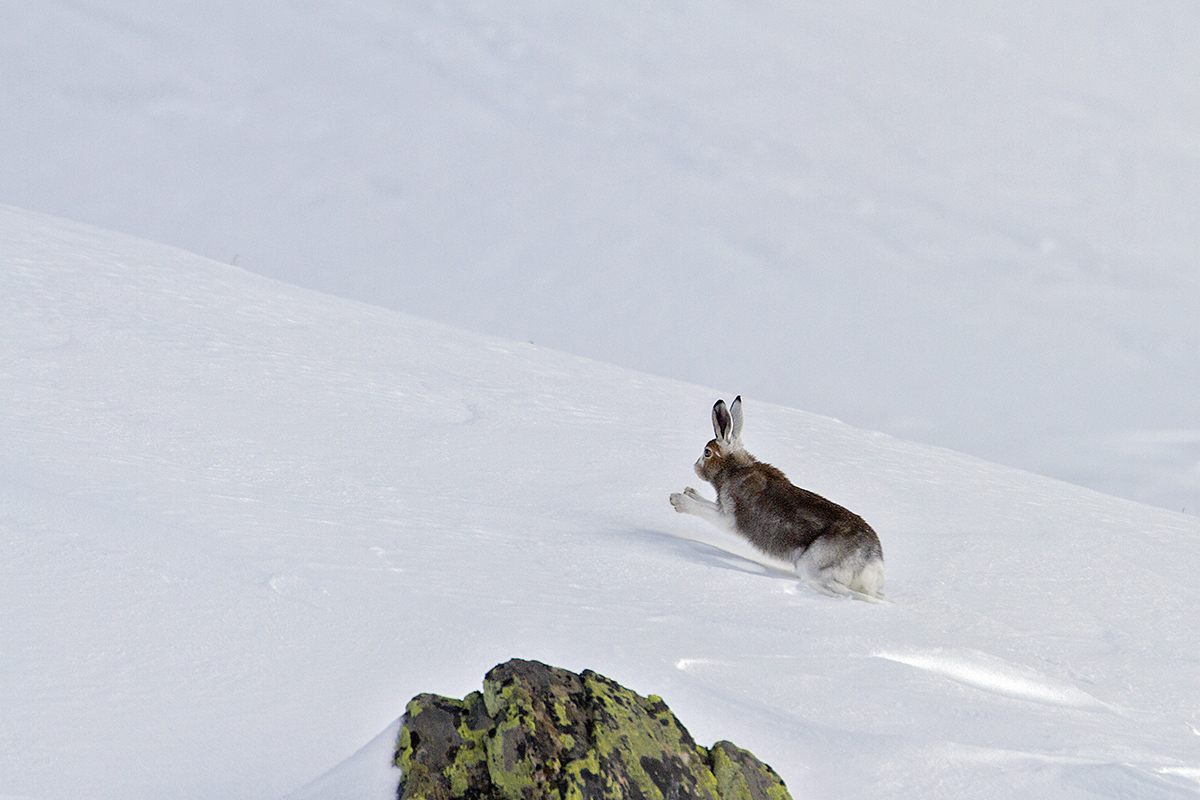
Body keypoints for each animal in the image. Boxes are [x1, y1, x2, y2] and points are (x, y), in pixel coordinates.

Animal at [670, 396, 886, 602]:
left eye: (707, 453)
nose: (695, 467)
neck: (735, 469)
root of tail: (873, 560)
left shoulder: (729, 517)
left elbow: (704, 510)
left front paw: (678, 500)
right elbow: (705, 503)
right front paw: (690, 492)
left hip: (814, 563)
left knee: (839, 590)